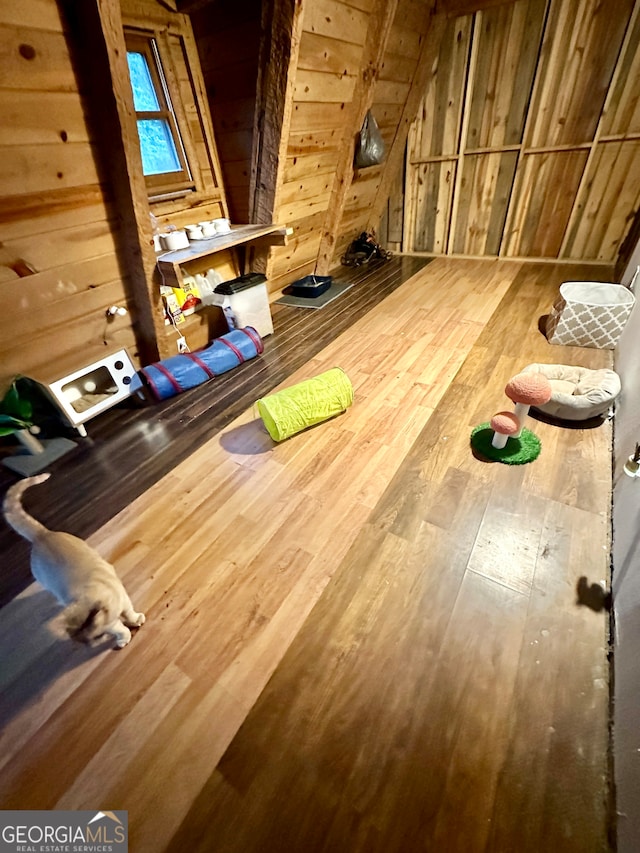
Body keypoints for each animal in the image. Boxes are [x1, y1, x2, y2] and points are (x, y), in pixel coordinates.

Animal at [3, 472, 145, 644]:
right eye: (86, 641)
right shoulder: (113, 617)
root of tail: (42, 535)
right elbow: (122, 626)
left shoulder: (122, 601)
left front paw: (132, 624)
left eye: (95, 637)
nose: (91, 643)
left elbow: (127, 616)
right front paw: (126, 633)